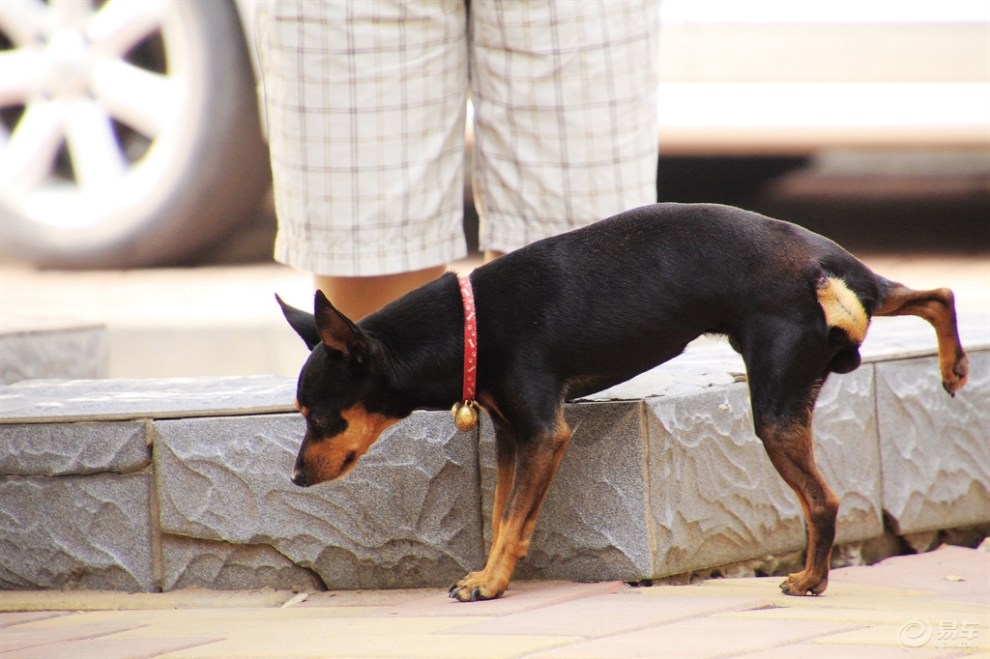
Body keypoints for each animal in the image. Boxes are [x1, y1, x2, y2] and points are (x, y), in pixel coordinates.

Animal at [278, 201, 968, 604]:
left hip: (774, 410)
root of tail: (822, 270)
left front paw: (491, 584)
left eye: (322, 417)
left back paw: (811, 579)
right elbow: (502, 515)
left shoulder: (543, 434)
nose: (295, 478)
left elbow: (513, 521)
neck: (470, 324)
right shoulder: (511, 437)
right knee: (935, 292)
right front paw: (487, 573)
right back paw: (953, 365)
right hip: (866, 298)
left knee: (822, 502)